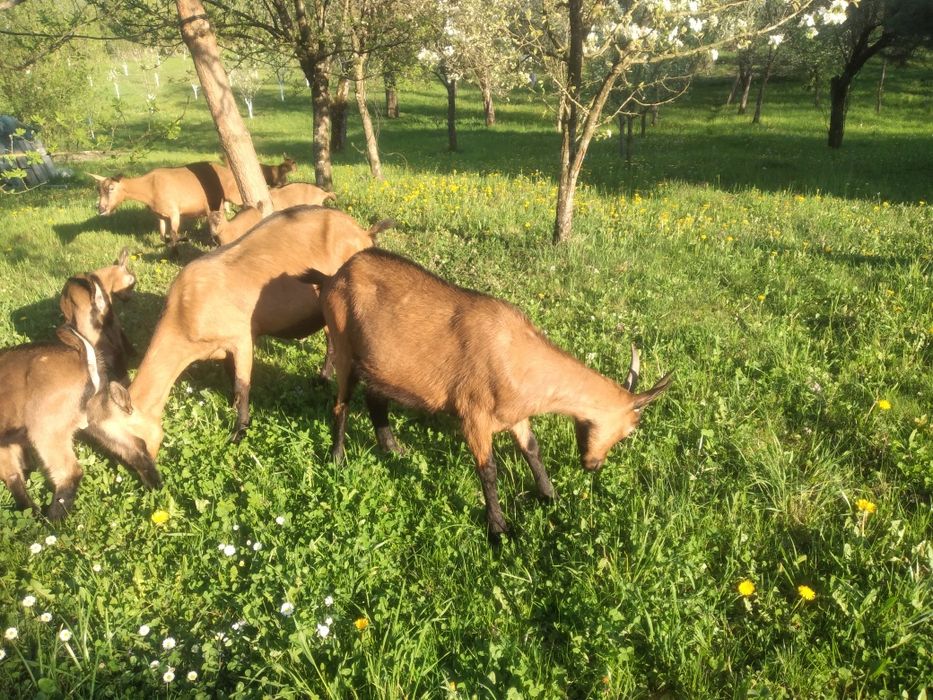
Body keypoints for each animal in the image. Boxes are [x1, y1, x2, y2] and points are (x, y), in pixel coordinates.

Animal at [0, 278, 161, 519]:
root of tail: (82, 356)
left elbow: (12, 475)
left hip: (46, 429)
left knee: (70, 473)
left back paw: (51, 522)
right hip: (97, 416)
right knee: (134, 444)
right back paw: (155, 485)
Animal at [90, 162, 242, 249]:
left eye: (111, 188)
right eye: (98, 189)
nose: (101, 209)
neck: (150, 187)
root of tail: (227, 171)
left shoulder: (174, 212)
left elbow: (173, 236)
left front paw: (178, 246)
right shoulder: (160, 215)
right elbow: (162, 236)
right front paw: (175, 240)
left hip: (235, 194)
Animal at [125, 205, 393, 459]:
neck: (184, 311)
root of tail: (363, 233)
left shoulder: (242, 338)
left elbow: (242, 385)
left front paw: (239, 431)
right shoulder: (224, 349)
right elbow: (231, 376)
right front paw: (231, 407)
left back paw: (323, 378)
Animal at [301, 249, 673, 537]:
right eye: (629, 430)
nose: (594, 465)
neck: (518, 359)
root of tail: (334, 276)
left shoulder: (515, 416)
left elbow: (532, 450)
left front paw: (550, 496)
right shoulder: (474, 417)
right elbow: (488, 469)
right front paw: (498, 529)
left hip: (380, 364)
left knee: (375, 399)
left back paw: (394, 450)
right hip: (343, 345)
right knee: (342, 404)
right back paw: (337, 458)